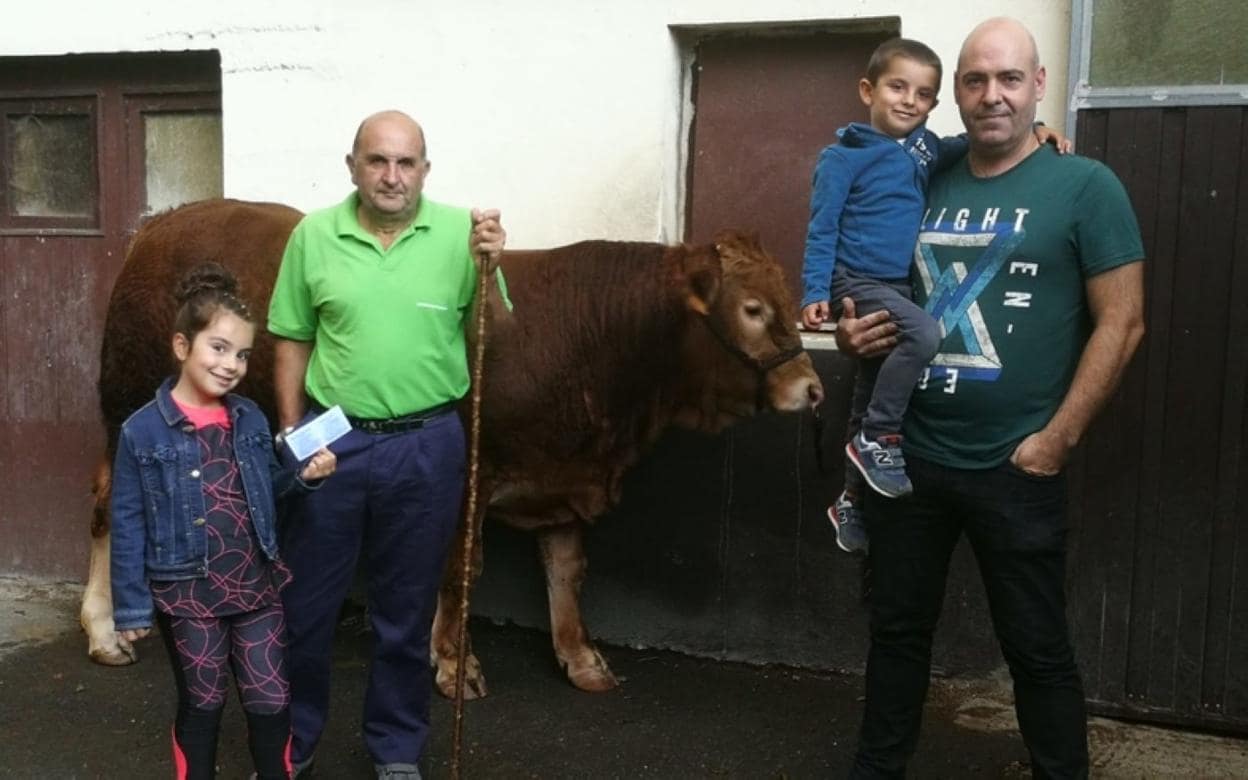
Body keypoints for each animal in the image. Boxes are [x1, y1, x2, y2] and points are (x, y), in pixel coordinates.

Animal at [75, 194, 818, 693]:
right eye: (752, 309)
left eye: (787, 297)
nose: (810, 387)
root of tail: (165, 222)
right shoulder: (472, 475)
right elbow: (462, 569)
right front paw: (456, 662)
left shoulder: (564, 473)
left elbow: (565, 570)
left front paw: (579, 657)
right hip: (127, 410)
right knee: (110, 508)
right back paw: (107, 629)